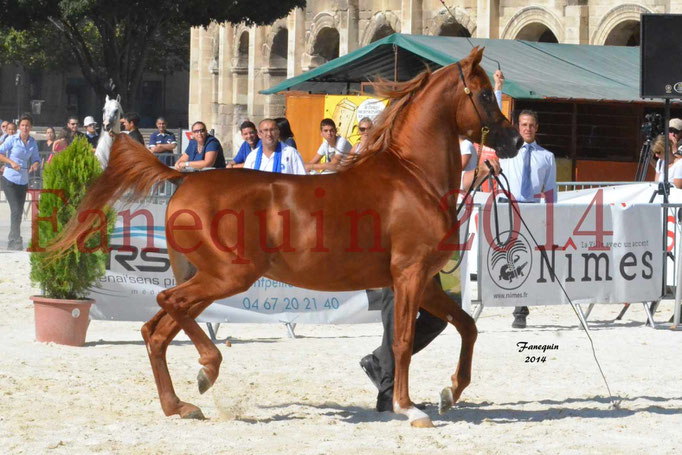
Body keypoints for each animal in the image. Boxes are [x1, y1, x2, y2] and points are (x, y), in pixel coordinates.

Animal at [50, 48, 516, 430]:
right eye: (485, 94)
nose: (512, 140)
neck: (413, 178)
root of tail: (184, 178)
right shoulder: (409, 275)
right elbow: (402, 340)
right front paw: (410, 408)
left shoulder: (427, 283)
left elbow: (466, 325)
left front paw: (449, 392)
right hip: (227, 276)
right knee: (167, 307)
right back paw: (206, 370)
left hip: (211, 277)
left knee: (156, 331)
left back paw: (181, 405)